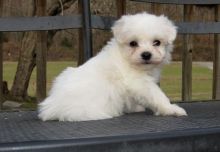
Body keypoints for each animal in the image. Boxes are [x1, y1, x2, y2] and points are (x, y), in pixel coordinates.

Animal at [38, 12, 186, 121]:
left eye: (157, 42)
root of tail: (52, 107)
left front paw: (135, 108)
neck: (126, 58)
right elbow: (157, 95)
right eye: (133, 43)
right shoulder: (140, 83)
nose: (146, 54)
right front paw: (171, 109)